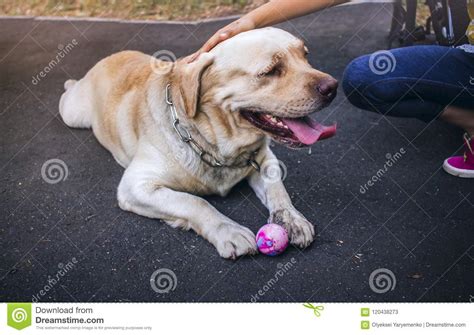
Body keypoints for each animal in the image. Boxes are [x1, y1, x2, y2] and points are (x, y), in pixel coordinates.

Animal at [60, 28, 336, 260]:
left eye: (305, 56)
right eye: (270, 70)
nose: (332, 87)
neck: (215, 143)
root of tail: (111, 55)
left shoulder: (265, 158)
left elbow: (277, 189)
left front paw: (291, 218)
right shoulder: (136, 186)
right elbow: (195, 202)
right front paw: (228, 230)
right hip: (73, 114)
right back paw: (69, 83)